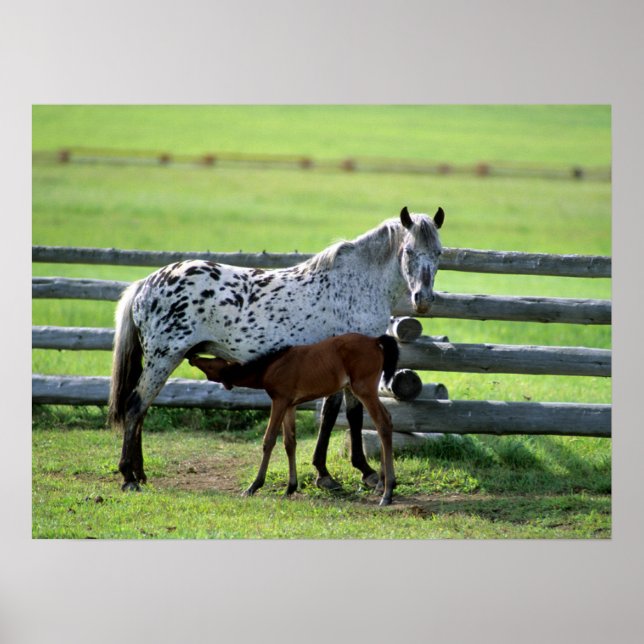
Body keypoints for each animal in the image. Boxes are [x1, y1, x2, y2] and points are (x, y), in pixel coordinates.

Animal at [188, 333, 400, 505]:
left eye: (211, 363)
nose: (192, 356)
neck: (271, 366)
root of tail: (375, 340)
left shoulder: (279, 401)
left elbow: (269, 440)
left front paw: (254, 486)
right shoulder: (290, 405)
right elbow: (290, 442)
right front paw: (290, 487)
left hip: (364, 389)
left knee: (383, 422)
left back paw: (387, 492)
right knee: (387, 419)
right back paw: (383, 484)